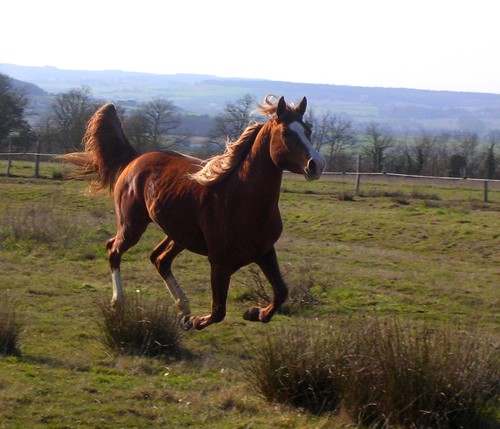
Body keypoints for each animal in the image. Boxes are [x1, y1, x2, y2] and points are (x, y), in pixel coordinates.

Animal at [62, 95, 326, 330]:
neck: (241, 200)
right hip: (132, 225)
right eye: (287, 133)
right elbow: (218, 311)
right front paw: (196, 322)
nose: (317, 164)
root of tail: (135, 159)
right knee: (114, 249)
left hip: (178, 233)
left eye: (308, 131)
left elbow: (281, 292)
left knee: (159, 259)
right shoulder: (219, 262)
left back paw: (183, 307)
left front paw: (254, 313)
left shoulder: (264, 251)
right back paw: (120, 303)